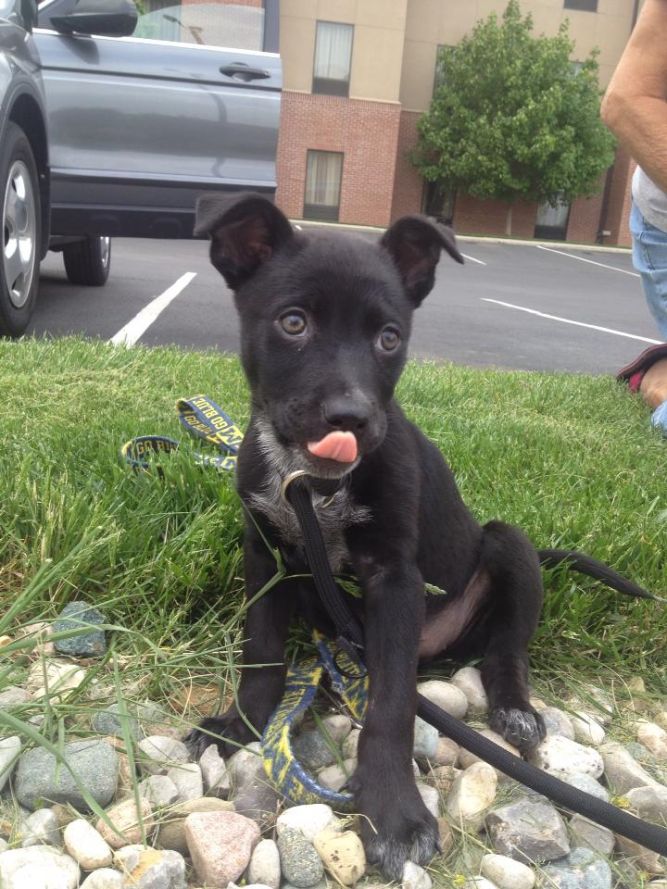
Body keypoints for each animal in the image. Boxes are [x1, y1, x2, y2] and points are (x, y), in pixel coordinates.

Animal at [185, 191, 624, 876]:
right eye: (293, 323)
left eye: (389, 337)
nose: (351, 418)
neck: (315, 485)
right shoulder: (267, 556)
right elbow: (261, 650)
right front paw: (243, 722)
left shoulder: (394, 579)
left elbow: (390, 706)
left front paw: (393, 811)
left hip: (508, 546)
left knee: (505, 649)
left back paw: (515, 709)